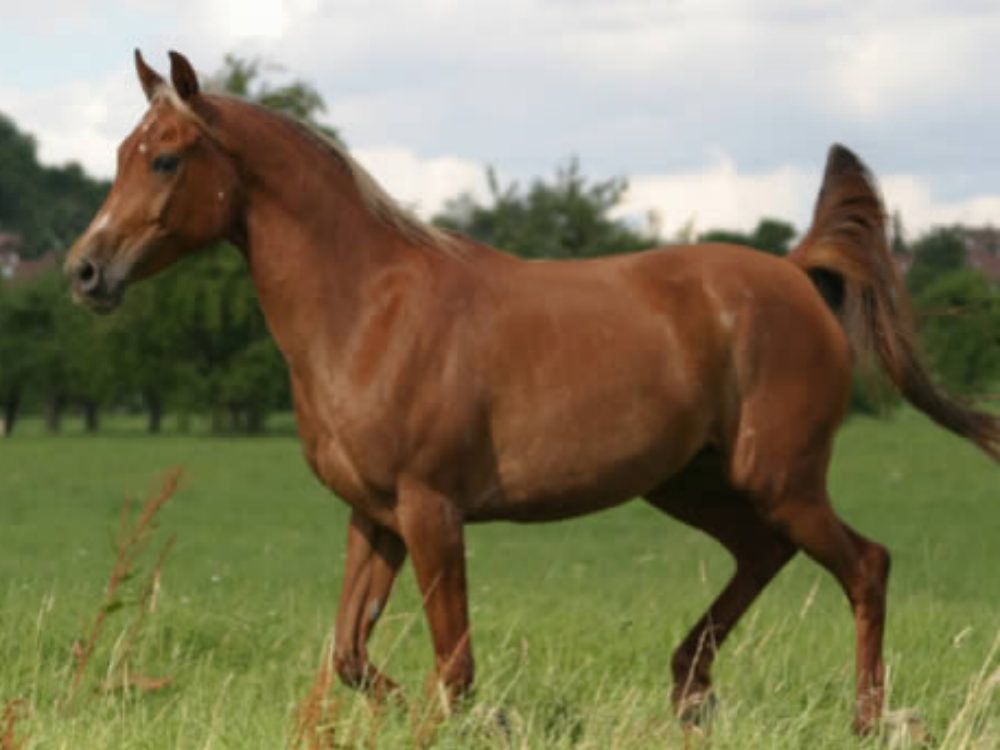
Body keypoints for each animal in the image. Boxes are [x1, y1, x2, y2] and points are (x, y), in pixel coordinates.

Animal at [65, 50, 999, 735]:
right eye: (118, 156)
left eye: (165, 158)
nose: (85, 272)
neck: (368, 309)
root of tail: (799, 277)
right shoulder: (375, 517)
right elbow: (352, 655)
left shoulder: (432, 511)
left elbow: (455, 667)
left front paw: (483, 721)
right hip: (693, 482)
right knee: (764, 555)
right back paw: (692, 693)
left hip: (780, 478)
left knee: (865, 565)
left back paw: (868, 719)